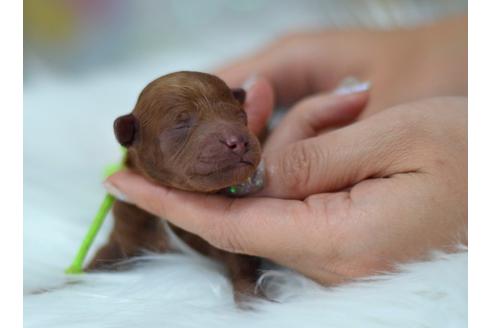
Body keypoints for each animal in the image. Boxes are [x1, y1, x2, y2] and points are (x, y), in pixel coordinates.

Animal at [88, 70, 266, 296]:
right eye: (181, 125)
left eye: (241, 116)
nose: (238, 141)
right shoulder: (126, 228)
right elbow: (98, 261)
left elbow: (244, 267)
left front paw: (253, 301)